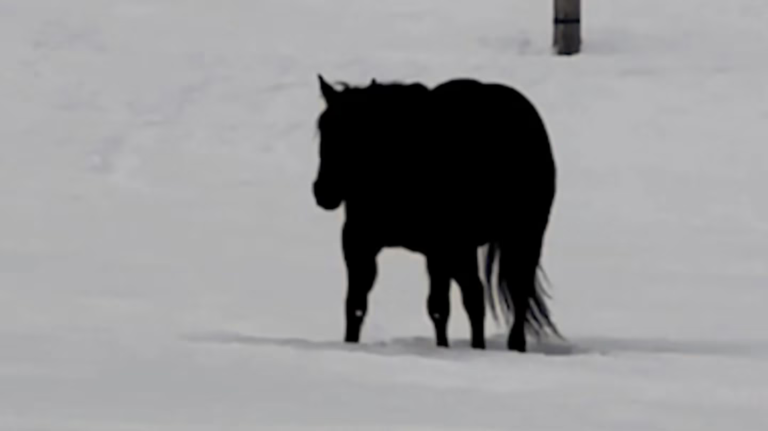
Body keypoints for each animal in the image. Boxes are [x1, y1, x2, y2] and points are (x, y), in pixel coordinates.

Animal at [312, 74, 559, 352]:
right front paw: (350, 345)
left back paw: (514, 345)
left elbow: (439, 308)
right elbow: (355, 304)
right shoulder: (359, 242)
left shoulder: (441, 247)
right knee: (476, 296)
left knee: (516, 292)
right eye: (323, 127)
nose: (324, 191)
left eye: (357, 133)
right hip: (465, 250)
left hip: (523, 236)